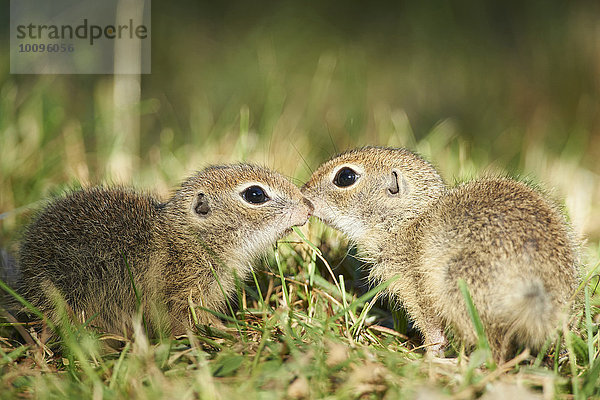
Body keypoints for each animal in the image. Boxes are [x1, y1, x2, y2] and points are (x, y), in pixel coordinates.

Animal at [10, 164, 314, 340]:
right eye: (255, 195)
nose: (308, 206)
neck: (189, 240)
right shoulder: (182, 294)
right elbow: (193, 319)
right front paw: (231, 332)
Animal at [302, 146, 580, 360]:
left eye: (345, 177)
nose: (303, 194)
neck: (408, 222)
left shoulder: (416, 285)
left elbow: (431, 325)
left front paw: (430, 356)